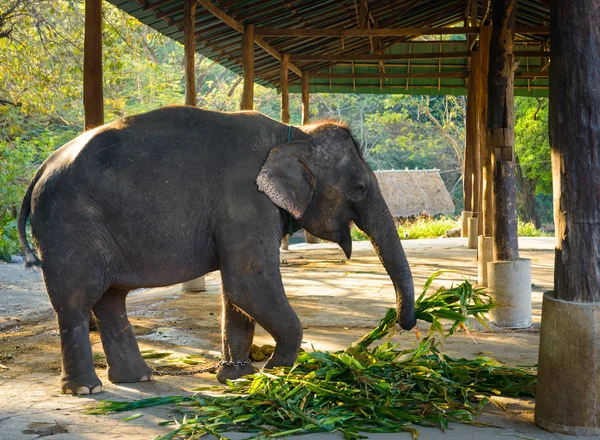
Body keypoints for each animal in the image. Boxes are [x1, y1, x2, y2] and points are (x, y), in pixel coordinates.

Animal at [17, 106, 412, 396]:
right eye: (359, 188)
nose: (400, 324)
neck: (294, 134)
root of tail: (39, 171)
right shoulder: (246, 202)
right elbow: (248, 284)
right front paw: (278, 371)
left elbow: (235, 293)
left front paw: (238, 378)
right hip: (69, 225)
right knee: (75, 300)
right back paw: (86, 389)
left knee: (112, 299)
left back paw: (138, 379)